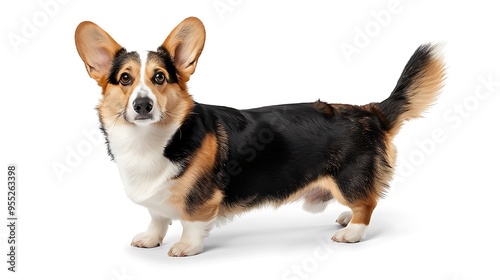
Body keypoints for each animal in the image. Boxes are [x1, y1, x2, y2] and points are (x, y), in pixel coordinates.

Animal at [75, 15, 446, 256]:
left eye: (160, 78)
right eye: (125, 78)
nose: (143, 105)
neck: (150, 140)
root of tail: (371, 112)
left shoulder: (200, 198)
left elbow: (191, 222)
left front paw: (184, 247)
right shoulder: (158, 200)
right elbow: (157, 217)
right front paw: (151, 239)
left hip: (349, 177)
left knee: (367, 203)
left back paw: (352, 231)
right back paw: (344, 218)